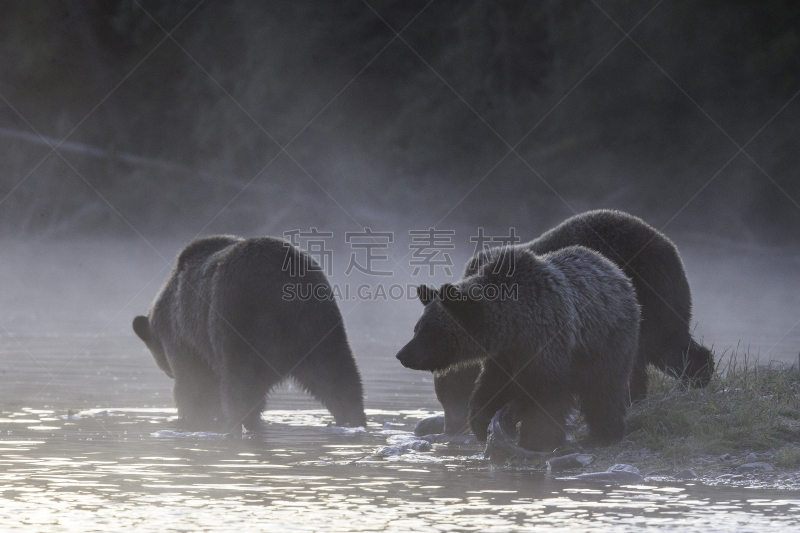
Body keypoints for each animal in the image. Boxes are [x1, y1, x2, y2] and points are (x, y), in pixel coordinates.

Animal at [132, 236, 368, 432]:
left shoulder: (183, 336)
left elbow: (195, 385)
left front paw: (197, 415)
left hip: (237, 319)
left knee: (241, 385)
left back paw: (240, 423)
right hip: (318, 321)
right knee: (338, 375)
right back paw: (352, 418)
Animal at [396, 245, 640, 448]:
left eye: (428, 332)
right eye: (417, 328)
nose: (402, 355)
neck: (515, 325)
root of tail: (616, 271)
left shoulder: (547, 343)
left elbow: (545, 394)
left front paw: (535, 437)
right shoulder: (502, 356)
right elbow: (490, 388)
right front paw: (482, 425)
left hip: (606, 340)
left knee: (604, 388)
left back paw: (604, 434)